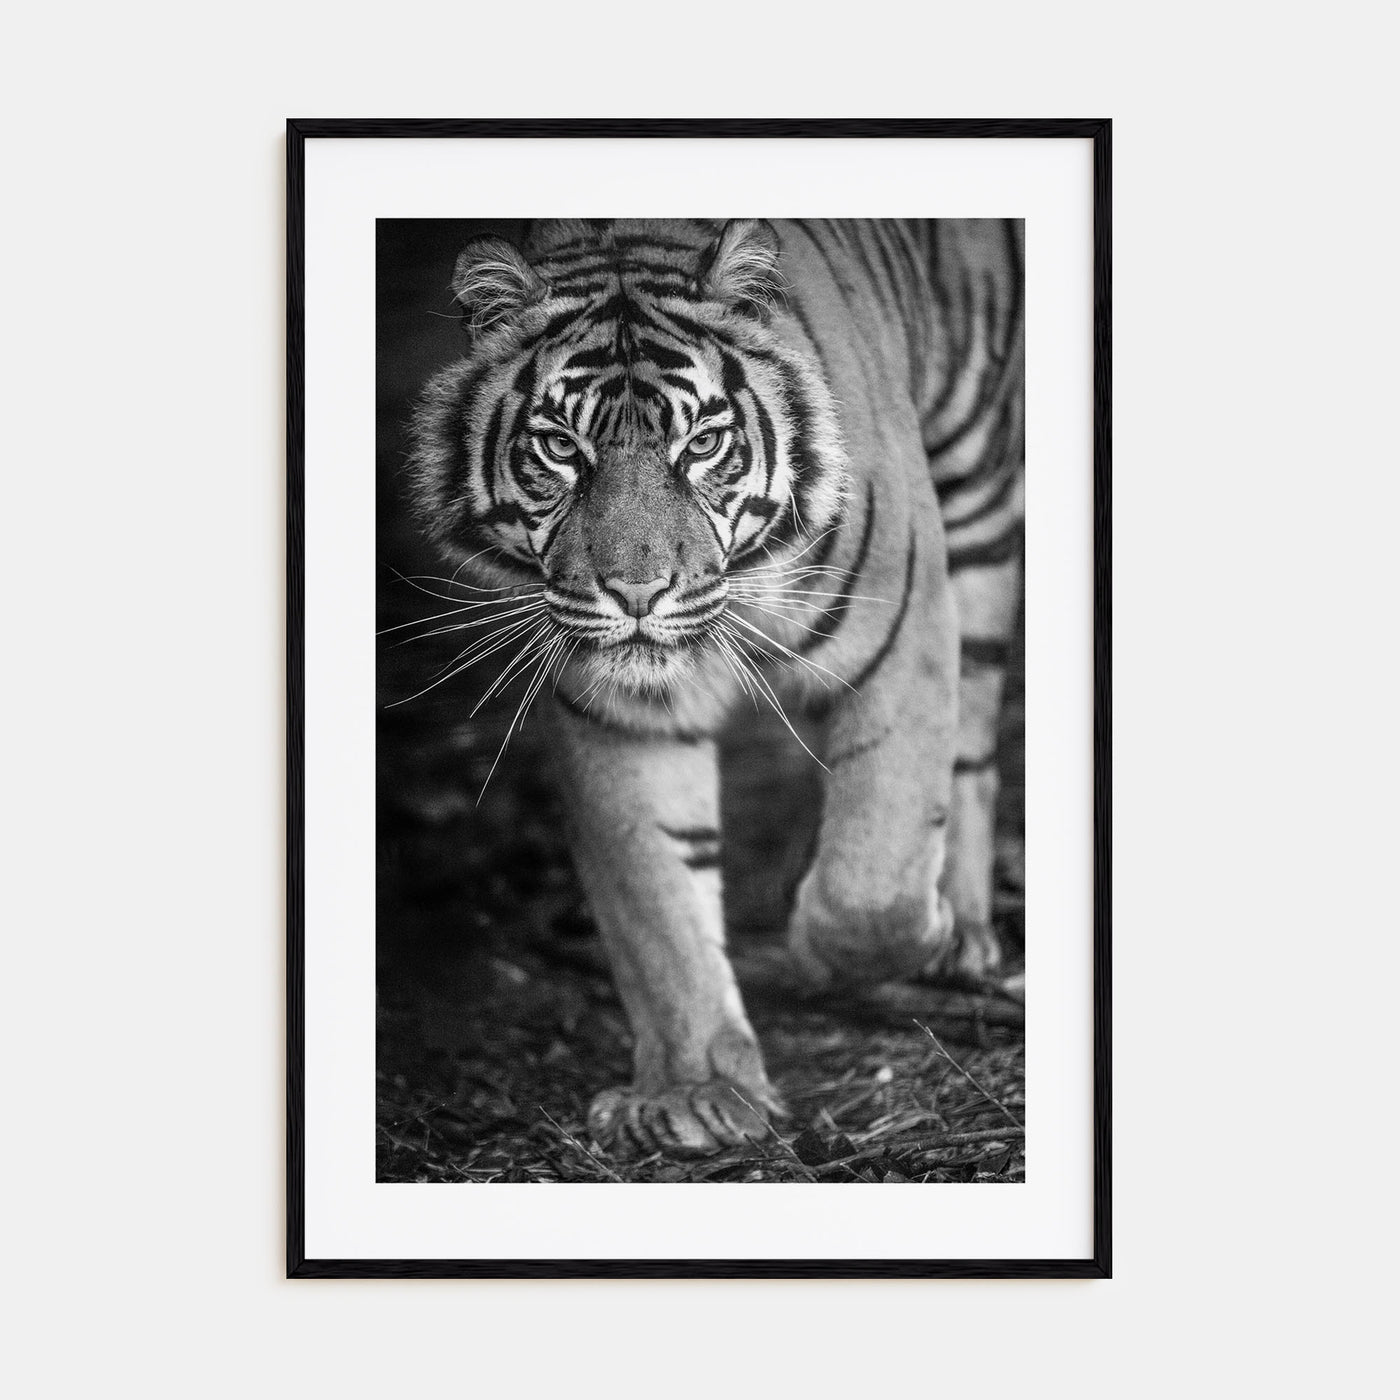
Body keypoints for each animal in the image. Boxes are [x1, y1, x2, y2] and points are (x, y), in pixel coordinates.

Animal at [407, 218, 1024, 1158]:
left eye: (701, 444)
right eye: (561, 447)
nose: (635, 594)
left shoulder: (905, 622)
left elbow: (871, 883)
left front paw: (894, 939)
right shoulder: (620, 714)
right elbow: (658, 902)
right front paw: (695, 1090)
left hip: (979, 491)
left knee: (974, 748)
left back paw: (961, 930)